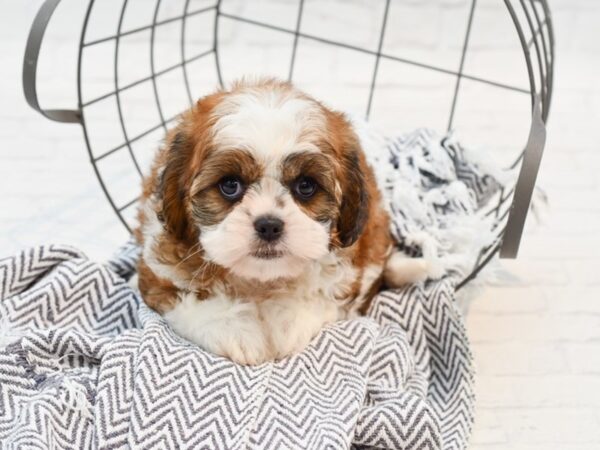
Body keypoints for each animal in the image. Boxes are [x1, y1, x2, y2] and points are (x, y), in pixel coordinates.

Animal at [137, 79, 426, 364]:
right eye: (229, 185)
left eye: (306, 186)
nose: (269, 225)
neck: (260, 281)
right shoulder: (158, 275)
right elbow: (188, 300)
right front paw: (235, 329)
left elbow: (320, 296)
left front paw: (287, 320)